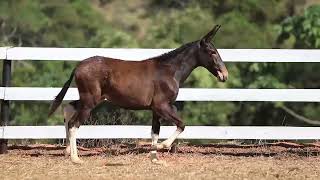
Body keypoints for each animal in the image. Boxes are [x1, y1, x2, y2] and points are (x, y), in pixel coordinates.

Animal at [48, 24, 228, 164]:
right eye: (212, 52)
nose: (224, 75)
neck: (169, 71)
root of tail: (78, 66)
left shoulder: (156, 109)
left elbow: (155, 132)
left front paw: (155, 158)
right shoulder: (162, 106)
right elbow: (181, 124)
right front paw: (162, 146)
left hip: (91, 99)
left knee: (68, 109)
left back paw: (67, 151)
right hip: (89, 101)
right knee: (74, 124)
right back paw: (75, 158)